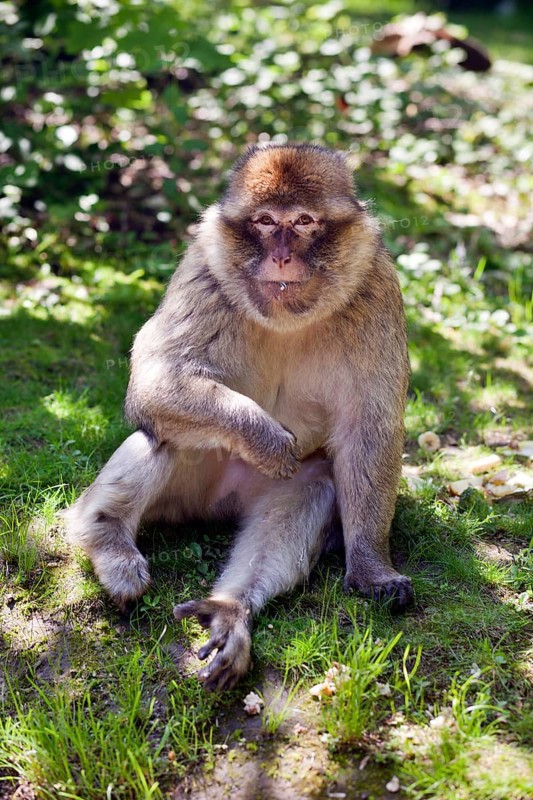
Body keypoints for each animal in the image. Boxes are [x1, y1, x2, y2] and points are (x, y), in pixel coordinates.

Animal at [64, 143, 413, 691]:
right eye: (266, 221)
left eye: (303, 221)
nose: (282, 254)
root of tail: (213, 509)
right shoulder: (206, 269)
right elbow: (155, 378)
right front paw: (265, 438)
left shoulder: (375, 288)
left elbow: (369, 432)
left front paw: (372, 567)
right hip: (188, 486)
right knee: (165, 431)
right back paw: (106, 536)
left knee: (314, 482)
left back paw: (231, 609)